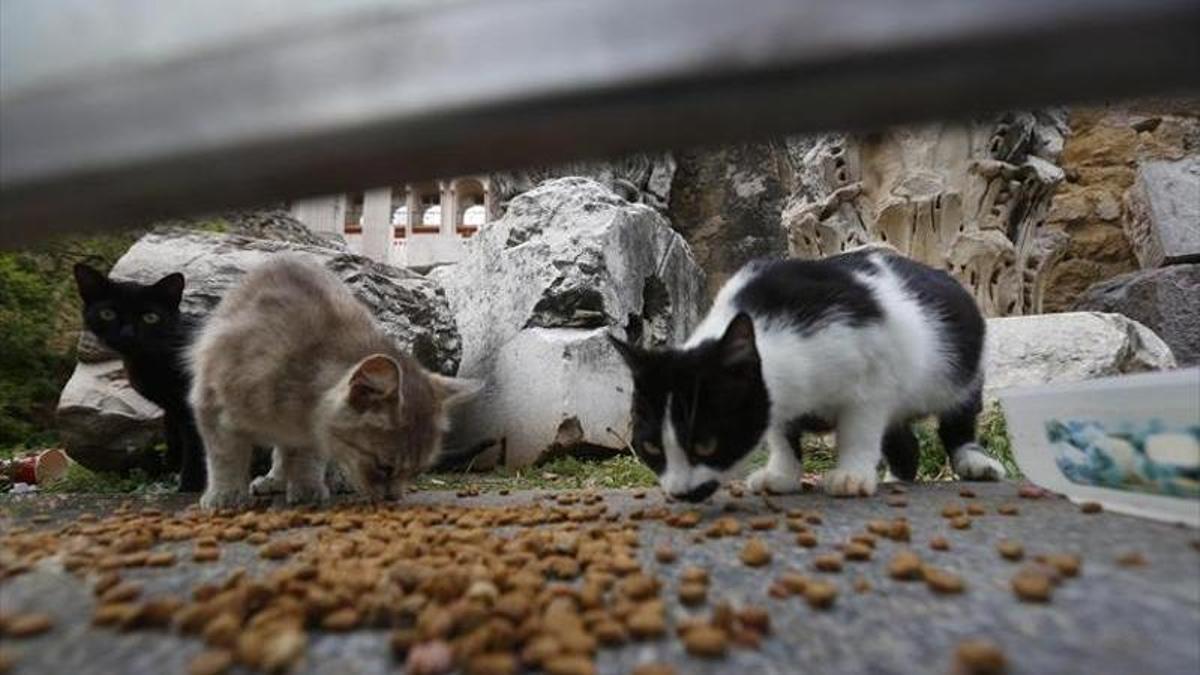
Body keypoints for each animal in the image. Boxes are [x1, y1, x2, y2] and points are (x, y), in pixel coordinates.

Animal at [72, 263, 206, 487]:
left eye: (150, 318)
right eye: (107, 314)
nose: (127, 333)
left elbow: (197, 451)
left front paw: (189, 486)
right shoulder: (173, 411)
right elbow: (175, 441)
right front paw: (173, 470)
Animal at [187, 254, 477, 506]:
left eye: (416, 471)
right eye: (384, 467)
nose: (393, 498)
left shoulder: (311, 430)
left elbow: (306, 456)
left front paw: (306, 487)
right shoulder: (211, 402)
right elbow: (225, 457)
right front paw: (225, 495)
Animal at [609, 247, 1003, 499]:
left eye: (705, 443)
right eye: (651, 447)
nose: (679, 492)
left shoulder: (874, 372)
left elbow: (860, 427)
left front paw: (851, 475)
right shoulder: (775, 397)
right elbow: (781, 432)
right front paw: (782, 475)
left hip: (959, 370)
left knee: (958, 418)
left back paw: (974, 462)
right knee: (904, 441)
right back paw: (897, 478)